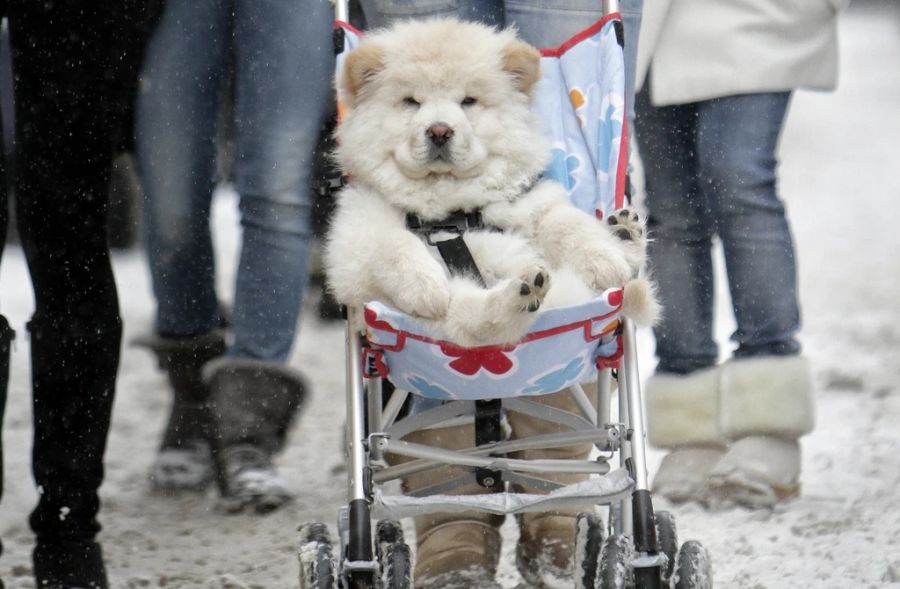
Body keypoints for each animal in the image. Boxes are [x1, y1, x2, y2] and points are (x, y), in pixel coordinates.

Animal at [326, 19, 656, 344]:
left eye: (468, 101)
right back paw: (522, 293)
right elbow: (393, 243)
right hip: (442, 319)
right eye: (411, 102)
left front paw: (605, 260)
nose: (439, 131)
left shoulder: (530, 203)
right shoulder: (354, 243)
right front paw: (426, 287)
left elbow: (565, 223)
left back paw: (625, 235)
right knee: (478, 320)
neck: (451, 209)